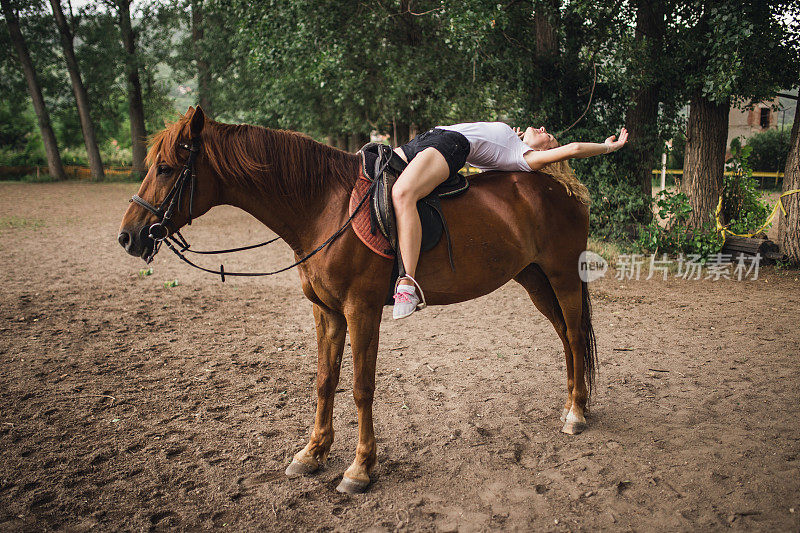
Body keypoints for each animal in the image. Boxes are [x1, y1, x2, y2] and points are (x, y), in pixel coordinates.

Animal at [117, 108, 592, 494]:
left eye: (166, 168)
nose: (129, 236)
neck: (322, 207)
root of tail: (561, 184)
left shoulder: (361, 311)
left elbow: (363, 388)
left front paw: (360, 468)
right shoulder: (326, 312)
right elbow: (325, 381)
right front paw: (312, 453)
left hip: (563, 275)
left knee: (572, 333)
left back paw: (576, 413)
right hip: (533, 278)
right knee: (565, 337)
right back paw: (574, 404)